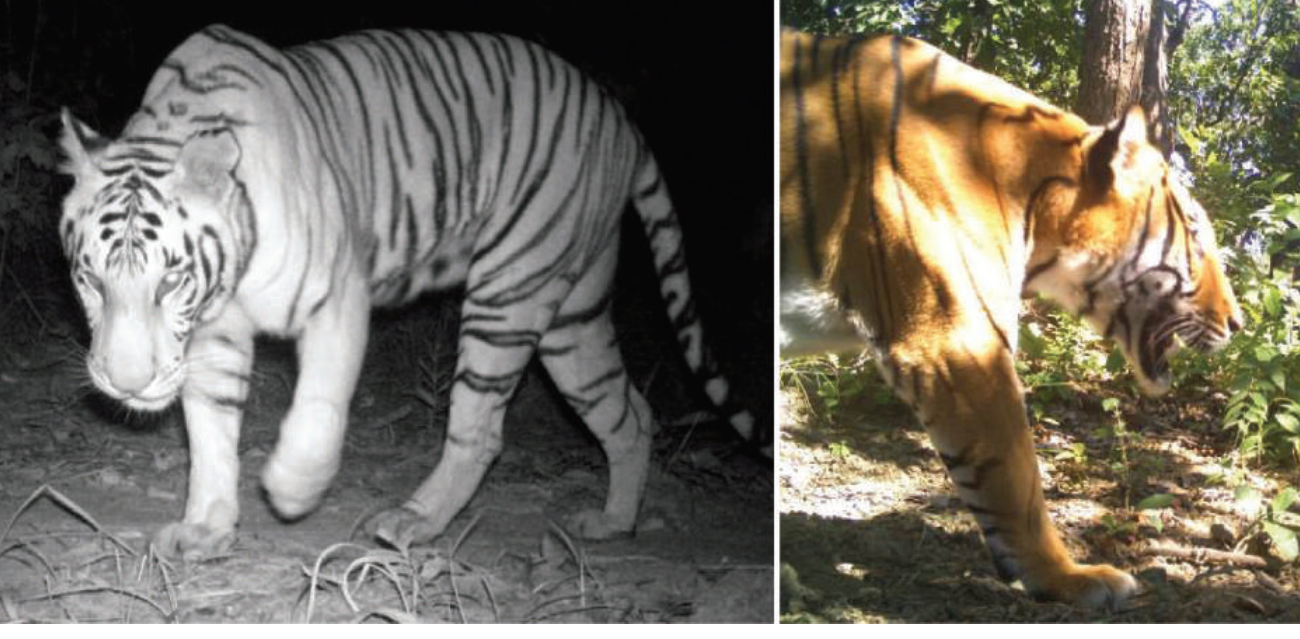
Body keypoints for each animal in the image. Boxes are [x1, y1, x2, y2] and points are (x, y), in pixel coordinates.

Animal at [57, 24, 761, 557]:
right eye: (91, 279)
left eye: (170, 280)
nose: (126, 384)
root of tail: (619, 117)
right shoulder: (212, 331)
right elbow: (209, 432)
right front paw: (205, 527)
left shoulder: (336, 299)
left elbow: (317, 410)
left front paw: (292, 488)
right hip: (573, 317)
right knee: (629, 413)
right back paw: (614, 522)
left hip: (509, 290)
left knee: (482, 428)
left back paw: (414, 520)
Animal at [779, 30, 1241, 609]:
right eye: (1197, 239)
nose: (1239, 323)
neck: (1037, 200)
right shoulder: (959, 341)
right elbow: (1015, 475)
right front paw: (1068, 577)